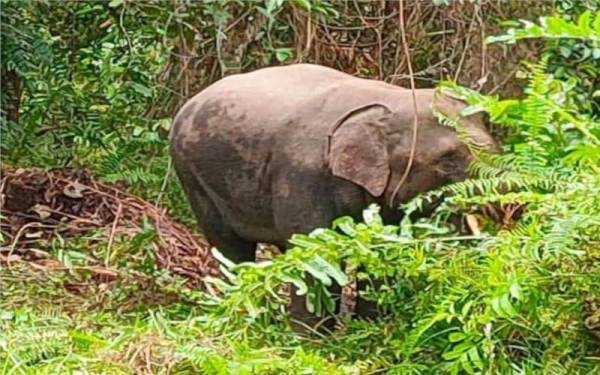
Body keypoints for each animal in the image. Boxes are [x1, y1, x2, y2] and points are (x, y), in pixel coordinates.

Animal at [169, 64, 496, 328]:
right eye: (448, 160)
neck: (391, 101)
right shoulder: (303, 177)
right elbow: (315, 254)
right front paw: (312, 342)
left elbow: (379, 251)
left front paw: (370, 328)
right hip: (193, 177)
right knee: (231, 250)